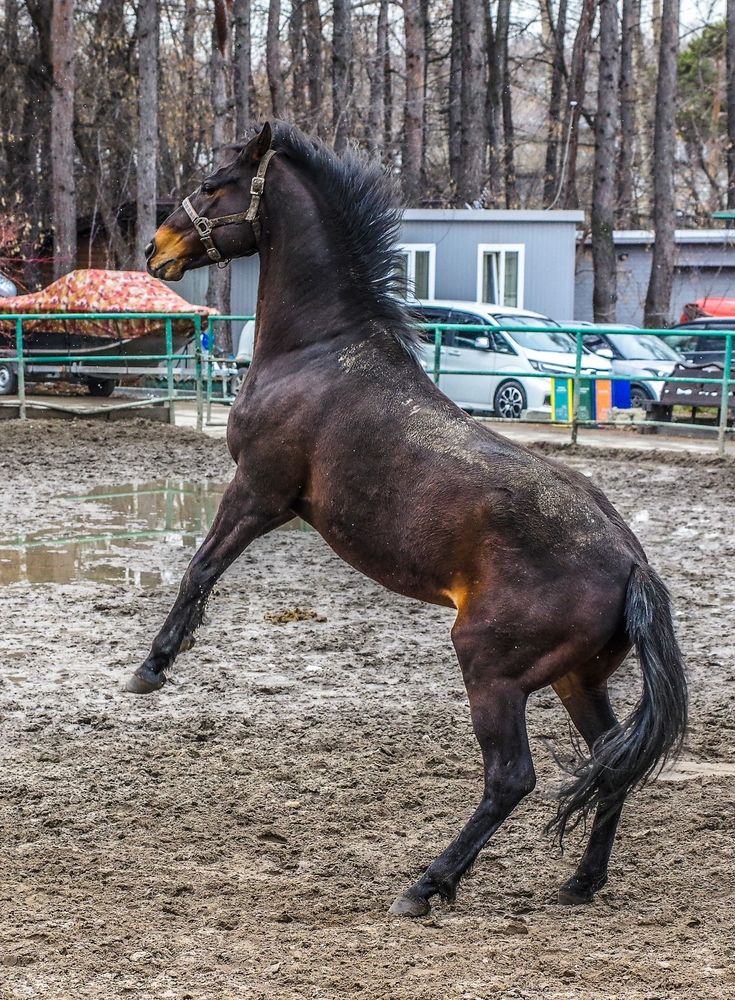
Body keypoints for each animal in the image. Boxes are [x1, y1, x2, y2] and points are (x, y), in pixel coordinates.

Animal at [132, 121, 687, 917]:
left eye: (213, 184)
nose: (157, 250)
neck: (319, 351)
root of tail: (631, 565)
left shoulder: (260, 492)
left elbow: (200, 569)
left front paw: (152, 667)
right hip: (576, 679)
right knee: (608, 762)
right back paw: (578, 882)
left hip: (491, 669)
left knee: (512, 777)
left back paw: (427, 884)